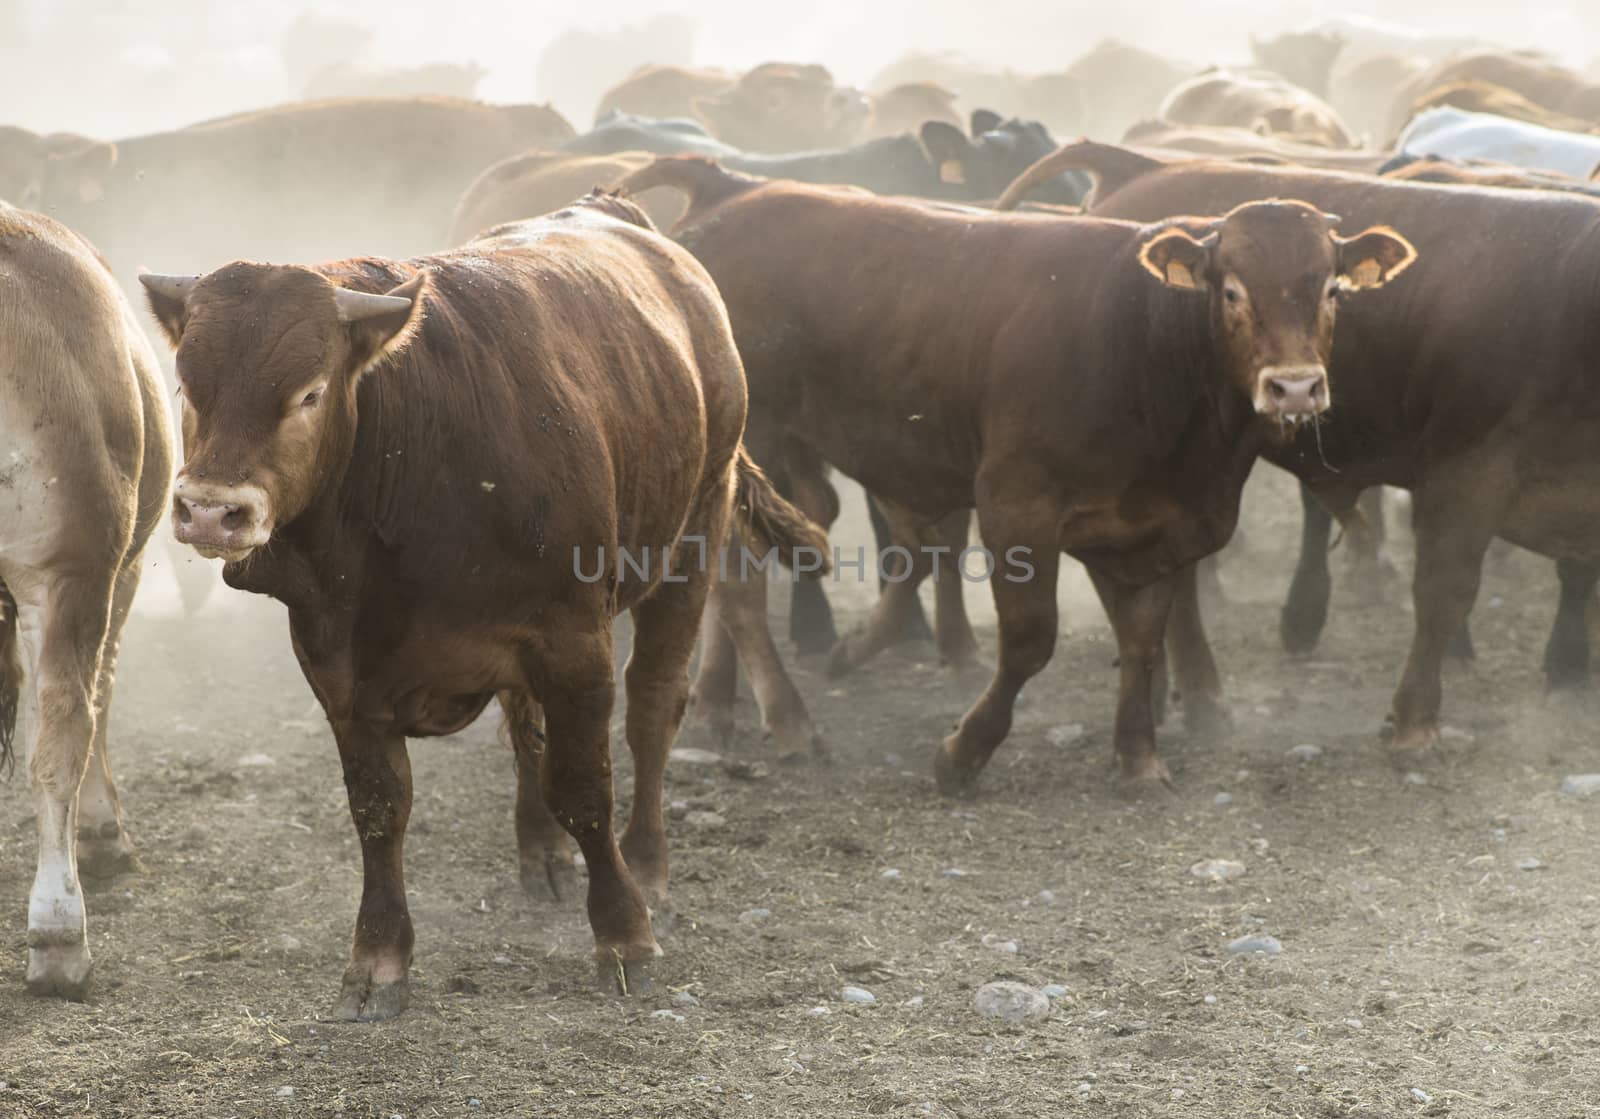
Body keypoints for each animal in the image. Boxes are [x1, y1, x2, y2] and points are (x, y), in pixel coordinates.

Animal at [137, 194, 825, 1024]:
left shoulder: (575, 642)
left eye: (308, 393)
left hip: (695, 532)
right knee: (525, 729)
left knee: (654, 708)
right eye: (185, 387)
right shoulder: (339, 669)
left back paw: (648, 860)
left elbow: (585, 787)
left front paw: (624, 932)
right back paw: (541, 851)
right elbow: (380, 808)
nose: (211, 511)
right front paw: (378, 957)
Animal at [624, 155, 1414, 797]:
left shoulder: (1148, 530)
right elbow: (1031, 641)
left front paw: (1139, 758)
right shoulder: (1016, 506)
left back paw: (724, 703)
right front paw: (961, 754)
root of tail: (730, 189)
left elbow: (1142, 640)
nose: (1294, 387)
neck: (1143, 344)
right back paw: (791, 722)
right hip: (748, 450)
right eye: (1231, 292)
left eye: (1332, 291)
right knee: (737, 585)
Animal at [998, 140, 1600, 752]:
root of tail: (1140, 166)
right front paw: (1415, 718)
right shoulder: (1466, 471)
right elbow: (1444, 592)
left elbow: (1578, 573)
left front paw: (1570, 671)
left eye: (1333, 290)